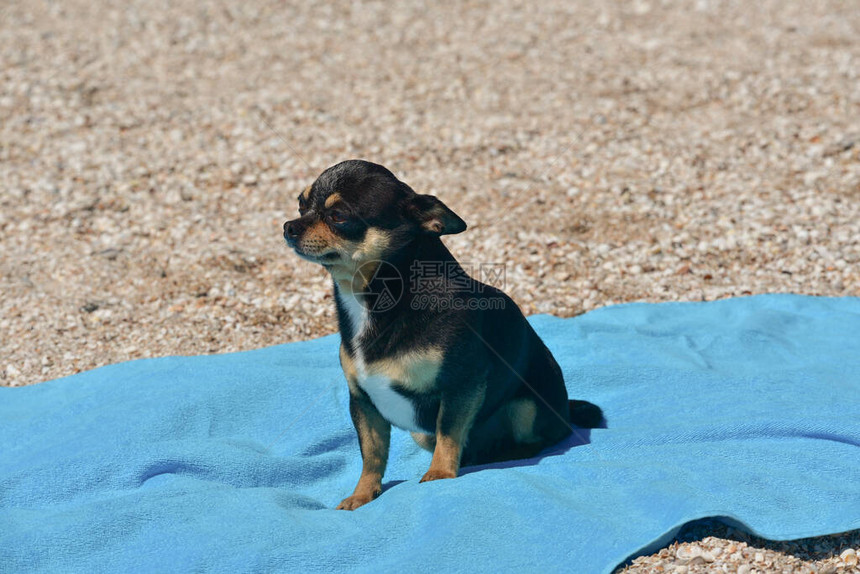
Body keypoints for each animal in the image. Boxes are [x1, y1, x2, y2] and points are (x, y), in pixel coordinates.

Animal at [286, 160, 600, 510]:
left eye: (338, 215)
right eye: (301, 205)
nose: (288, 226)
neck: (371, 298)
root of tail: (566, 410)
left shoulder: (462, 385)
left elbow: (448, 432)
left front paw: (439, 475)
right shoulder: (363, 403)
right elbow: (372, 454)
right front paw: (362, 495)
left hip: (527, 405)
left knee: (538, 439)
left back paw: (505, 455)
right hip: (422, 432)